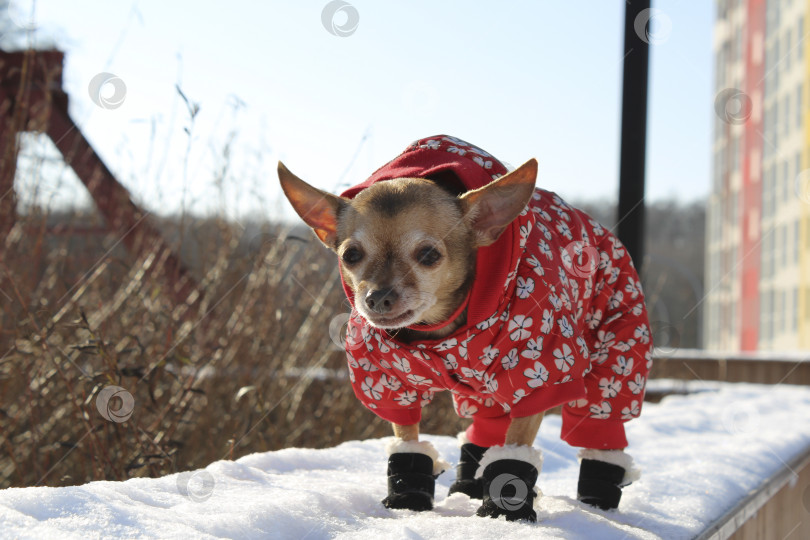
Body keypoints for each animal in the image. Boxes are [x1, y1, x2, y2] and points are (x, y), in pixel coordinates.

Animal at [280, 134, 648, 520]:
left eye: (429, 255)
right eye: (350, 255)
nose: (377, 298)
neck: (441, 331)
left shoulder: (538, 377)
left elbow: (517, 445)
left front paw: (506, 511)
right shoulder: (388, 383)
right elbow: (407, 438)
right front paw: (407, 498)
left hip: (616, 346)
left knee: (601, 423)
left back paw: (598, 499)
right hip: (480, 391)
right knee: (485, 427)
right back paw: (469, 485)